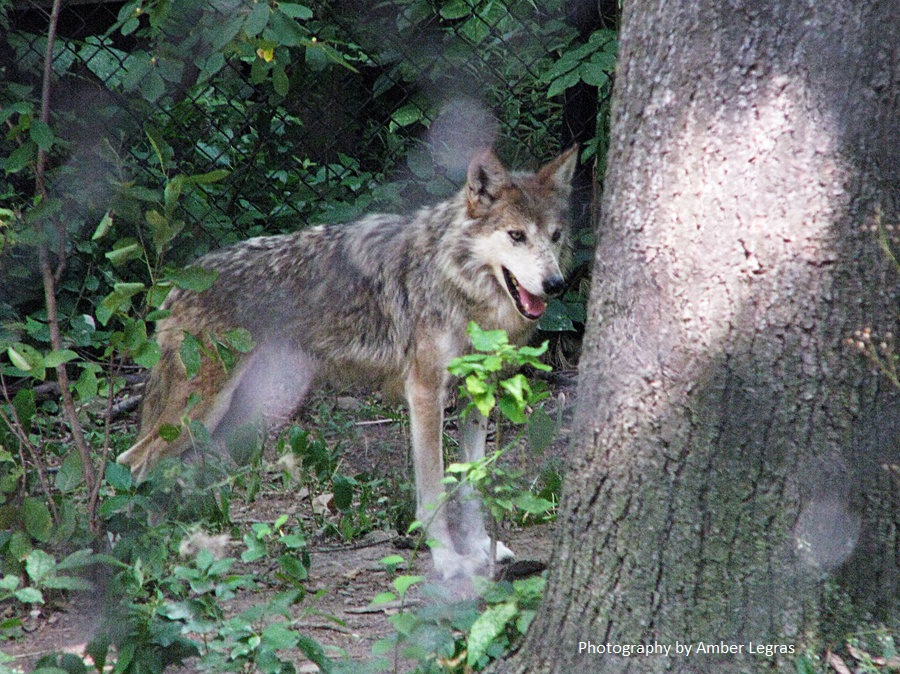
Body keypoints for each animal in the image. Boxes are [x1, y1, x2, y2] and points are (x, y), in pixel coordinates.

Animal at [117, 146, 577, 579]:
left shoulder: (476, 395)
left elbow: (472, 482)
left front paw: (482, 547)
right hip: (200, 413)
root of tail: (177, 283)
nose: (556, 284)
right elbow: (432, 493)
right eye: (516, 235)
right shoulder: (424, 393)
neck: (459, 283)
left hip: (238, 418)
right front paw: (449, 562)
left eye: (555, 236)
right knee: (132, 461)